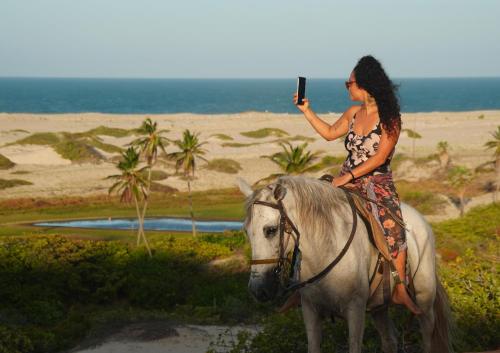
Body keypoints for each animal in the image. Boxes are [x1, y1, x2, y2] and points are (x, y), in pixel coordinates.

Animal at [238, 176, 454, 352]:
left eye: (271, 230)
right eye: (247, 232)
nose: (258, 290)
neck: (324, 248)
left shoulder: (355, 310)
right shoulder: (310, 310)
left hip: (424, 301)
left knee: (427, 335)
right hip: (379, 307)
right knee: (389, 340)